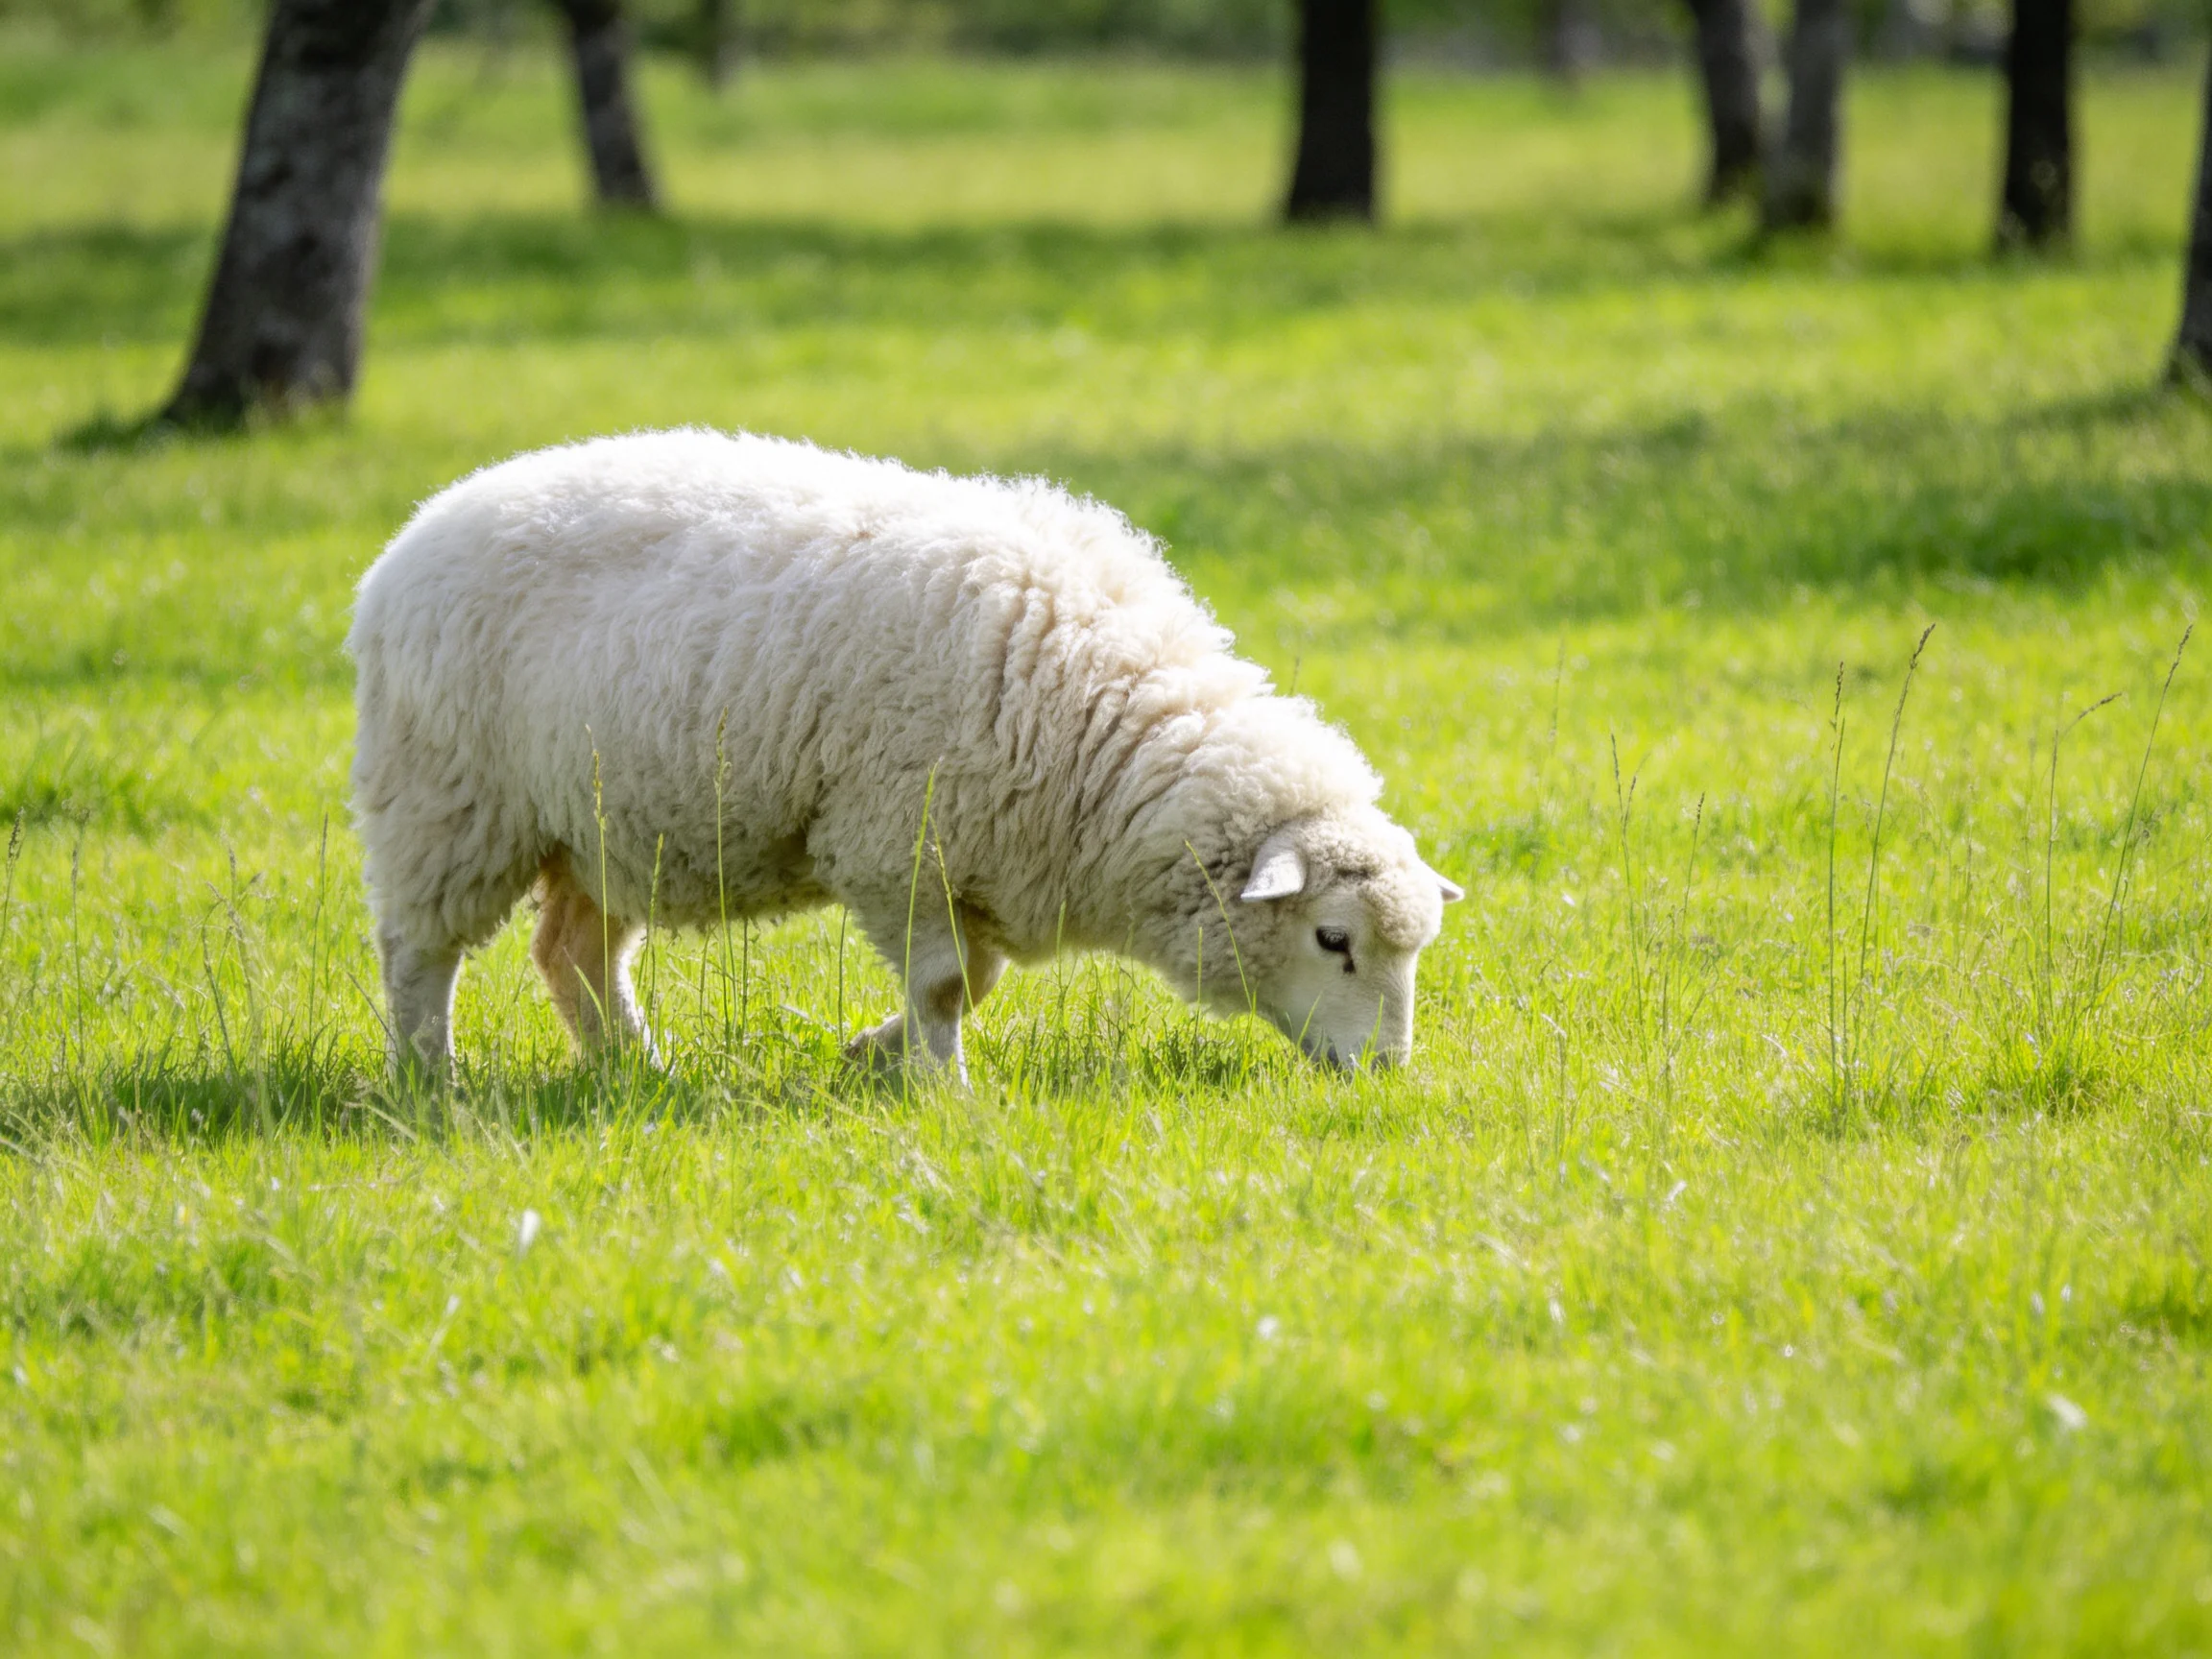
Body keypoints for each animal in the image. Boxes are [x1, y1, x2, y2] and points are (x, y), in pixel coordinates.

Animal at [348, 430, 1462, 1082]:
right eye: (1332, 938)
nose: (1387, 1074)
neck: (1108, 725)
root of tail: (407, 542)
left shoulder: (980, 860)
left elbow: (980, 980)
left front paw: (868, 1054)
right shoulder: (895, 845)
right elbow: (945, 988)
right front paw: (943, 1090)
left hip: (604, 826)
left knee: (570, 954)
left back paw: (638, 1073)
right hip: (450, 802)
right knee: (417, 953)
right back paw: (432, 1082)